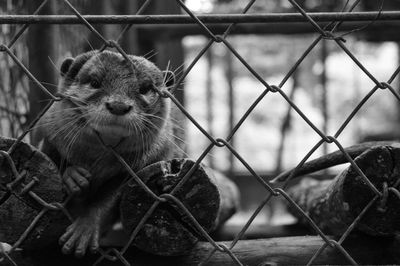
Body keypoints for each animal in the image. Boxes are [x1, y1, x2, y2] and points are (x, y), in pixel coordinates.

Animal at [34, 50, 183, 258]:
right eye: (94, 82)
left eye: (145, 88)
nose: (118, 105)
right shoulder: (48, 134)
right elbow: (52, 162)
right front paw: (73, 176)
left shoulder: (146, 164)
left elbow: (109, 200)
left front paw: (84, 231)